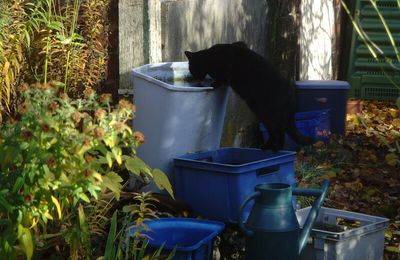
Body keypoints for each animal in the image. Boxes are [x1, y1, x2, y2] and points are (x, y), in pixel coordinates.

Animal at [184, 42, 312, 152]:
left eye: (191, 68)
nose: (195, 78)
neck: (210, 57)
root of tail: (290, 91)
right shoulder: (240, 44)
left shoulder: (227, 67)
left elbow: (221, 78)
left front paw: (213, 84)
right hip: (262, 112)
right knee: (275, 130)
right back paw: (270, 147)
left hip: (267, 111)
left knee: (278, 129)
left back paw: (275, 148)